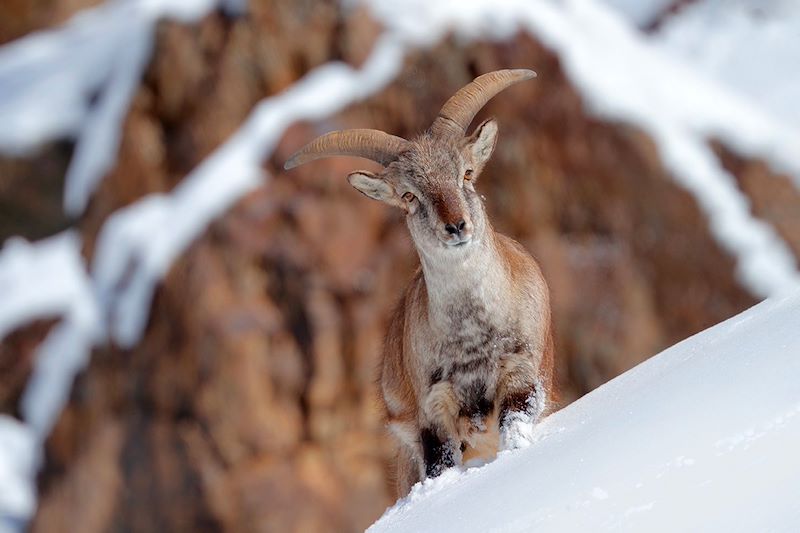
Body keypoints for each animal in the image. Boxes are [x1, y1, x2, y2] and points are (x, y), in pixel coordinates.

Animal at [284, 69, 554, 496]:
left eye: (466, 173)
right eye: (409, 195)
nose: (456, 226)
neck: (473, 336)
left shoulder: (520, 371)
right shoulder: (433, 408)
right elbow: (440, 460)